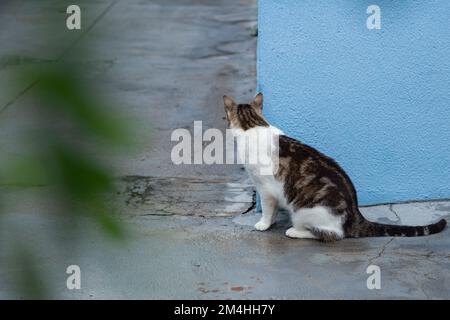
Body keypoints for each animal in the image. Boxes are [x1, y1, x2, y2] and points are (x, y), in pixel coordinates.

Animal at [223, 94, 448, 241]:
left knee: (332, 235)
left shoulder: (266, 188)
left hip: (303, 211)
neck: (253, 124)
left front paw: (264, 223)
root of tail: (356, 215)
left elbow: (268, 209)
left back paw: (295, 231)